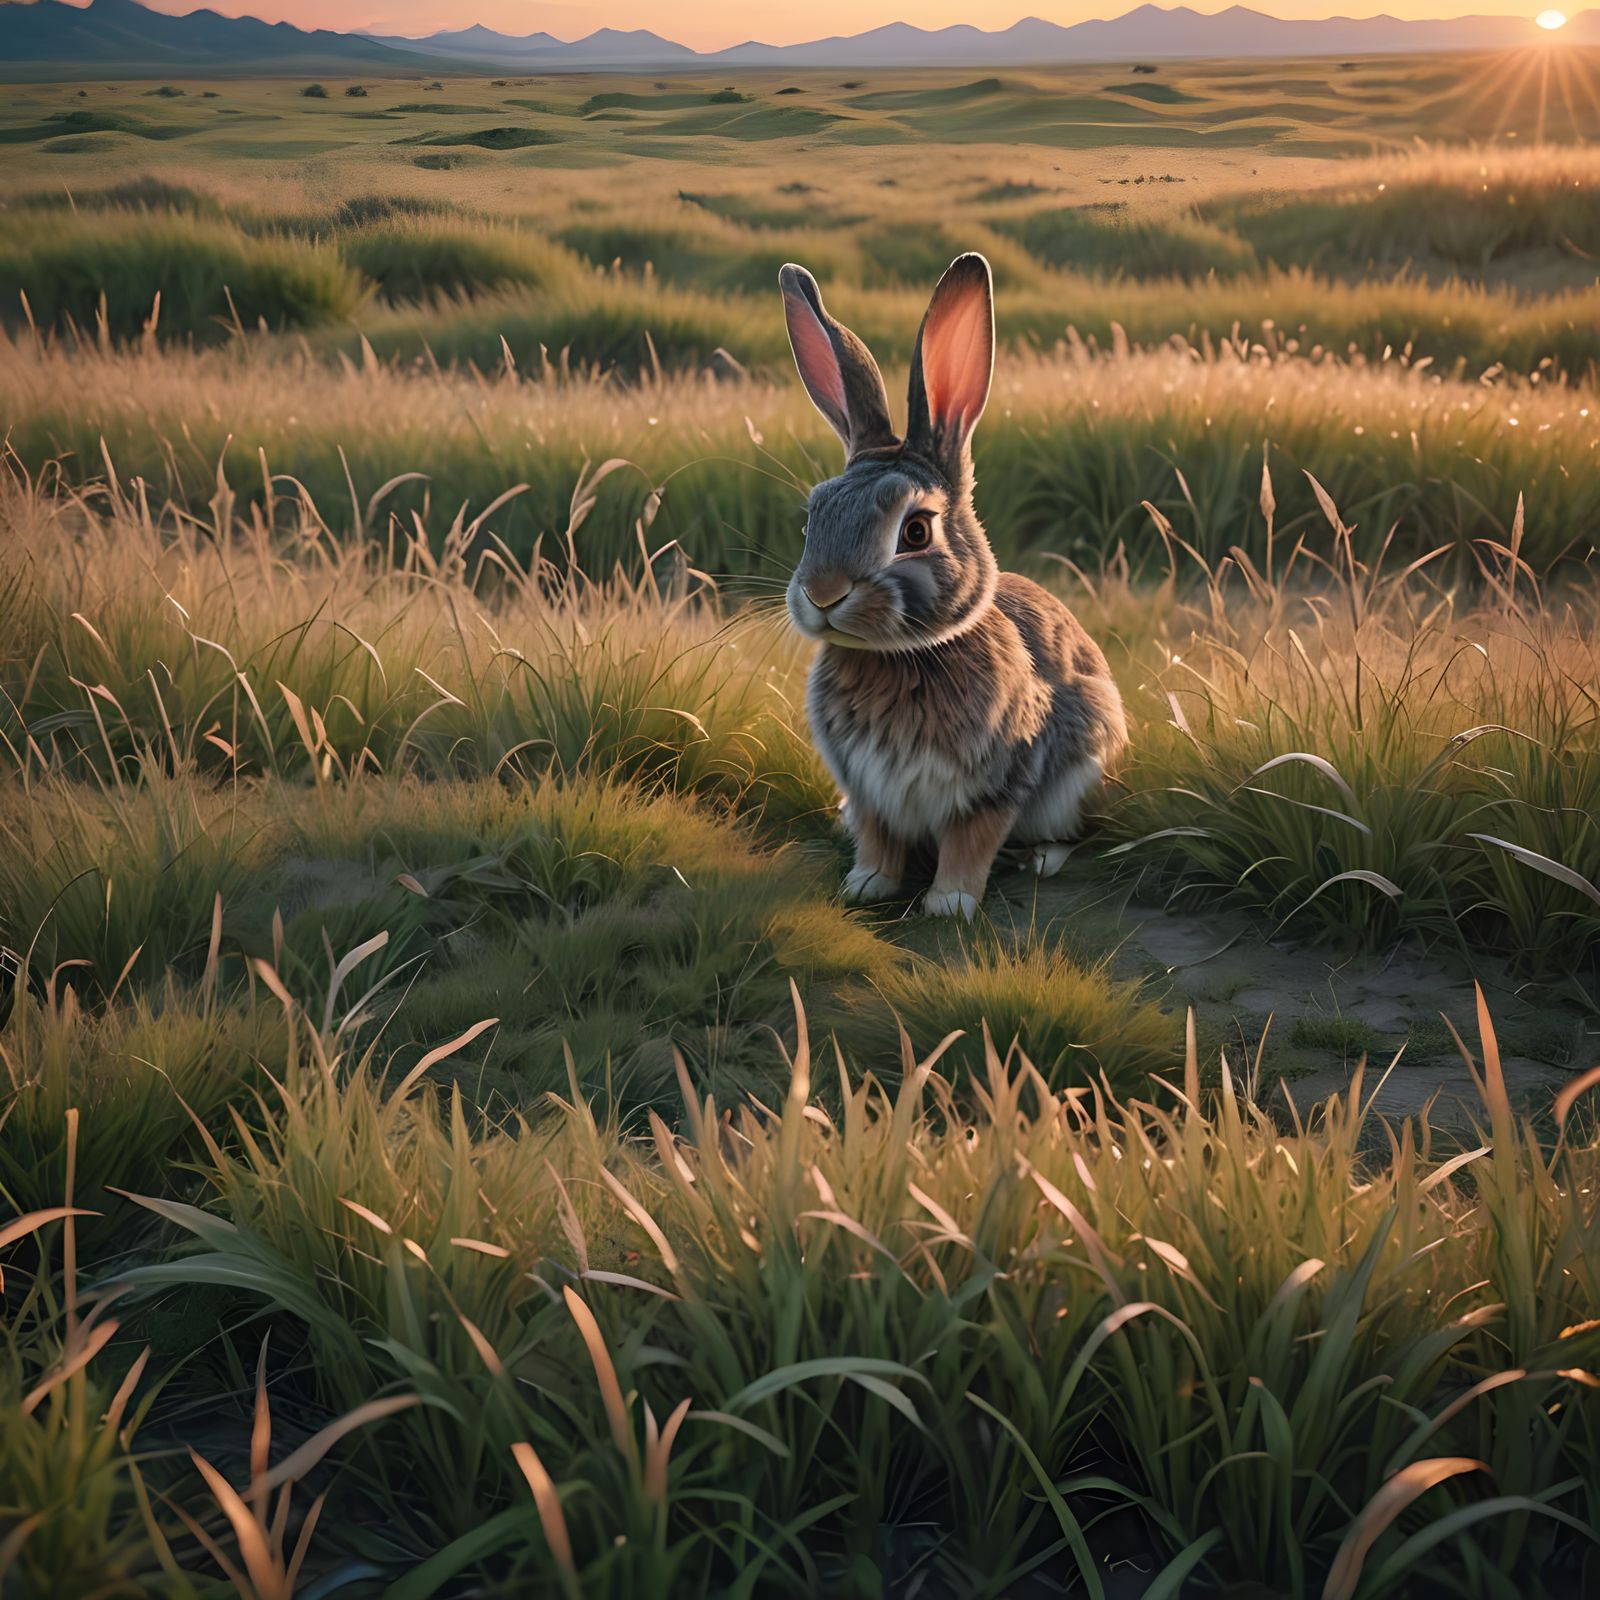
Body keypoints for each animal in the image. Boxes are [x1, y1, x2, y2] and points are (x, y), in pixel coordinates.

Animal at [778, 252, 1128, 919]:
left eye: (915, 531)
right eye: (810, 520)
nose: (824, 595)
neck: (898, 658)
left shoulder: (999, 781)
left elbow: (972, 838)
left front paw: (951, 903)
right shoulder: (870, 789)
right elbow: (878, 835)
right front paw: (867, 884)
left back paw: (1042, 859)